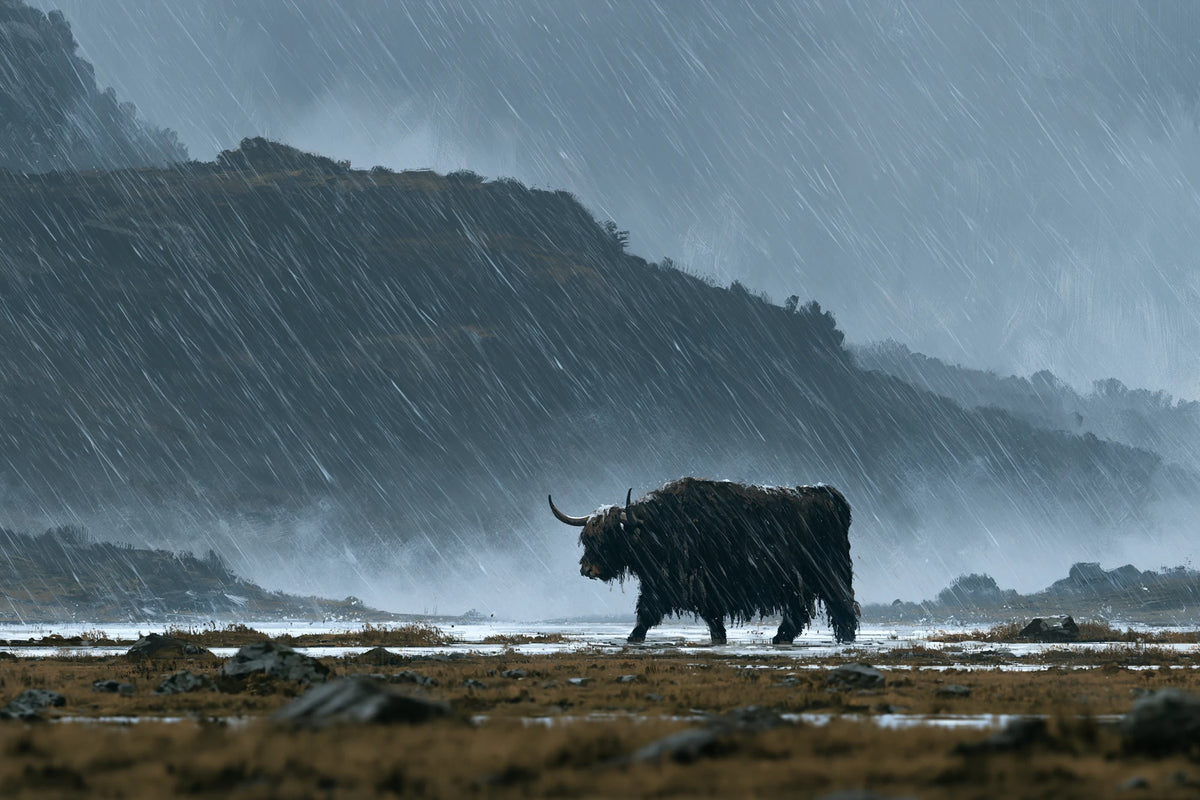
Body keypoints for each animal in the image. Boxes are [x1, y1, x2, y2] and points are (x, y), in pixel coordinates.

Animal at [549, 477, 858, 645]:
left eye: (610, 537)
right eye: (587, 538)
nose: (587, 569)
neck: (658, 528)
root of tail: (828, 495)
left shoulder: (704, 582)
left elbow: (710, 616)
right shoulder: (659, 584)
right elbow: (647, 611)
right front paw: (634, 636)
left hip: (828, 573)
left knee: (841, 605)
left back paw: (845, 638)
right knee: (798, 610)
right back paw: (781, 637)